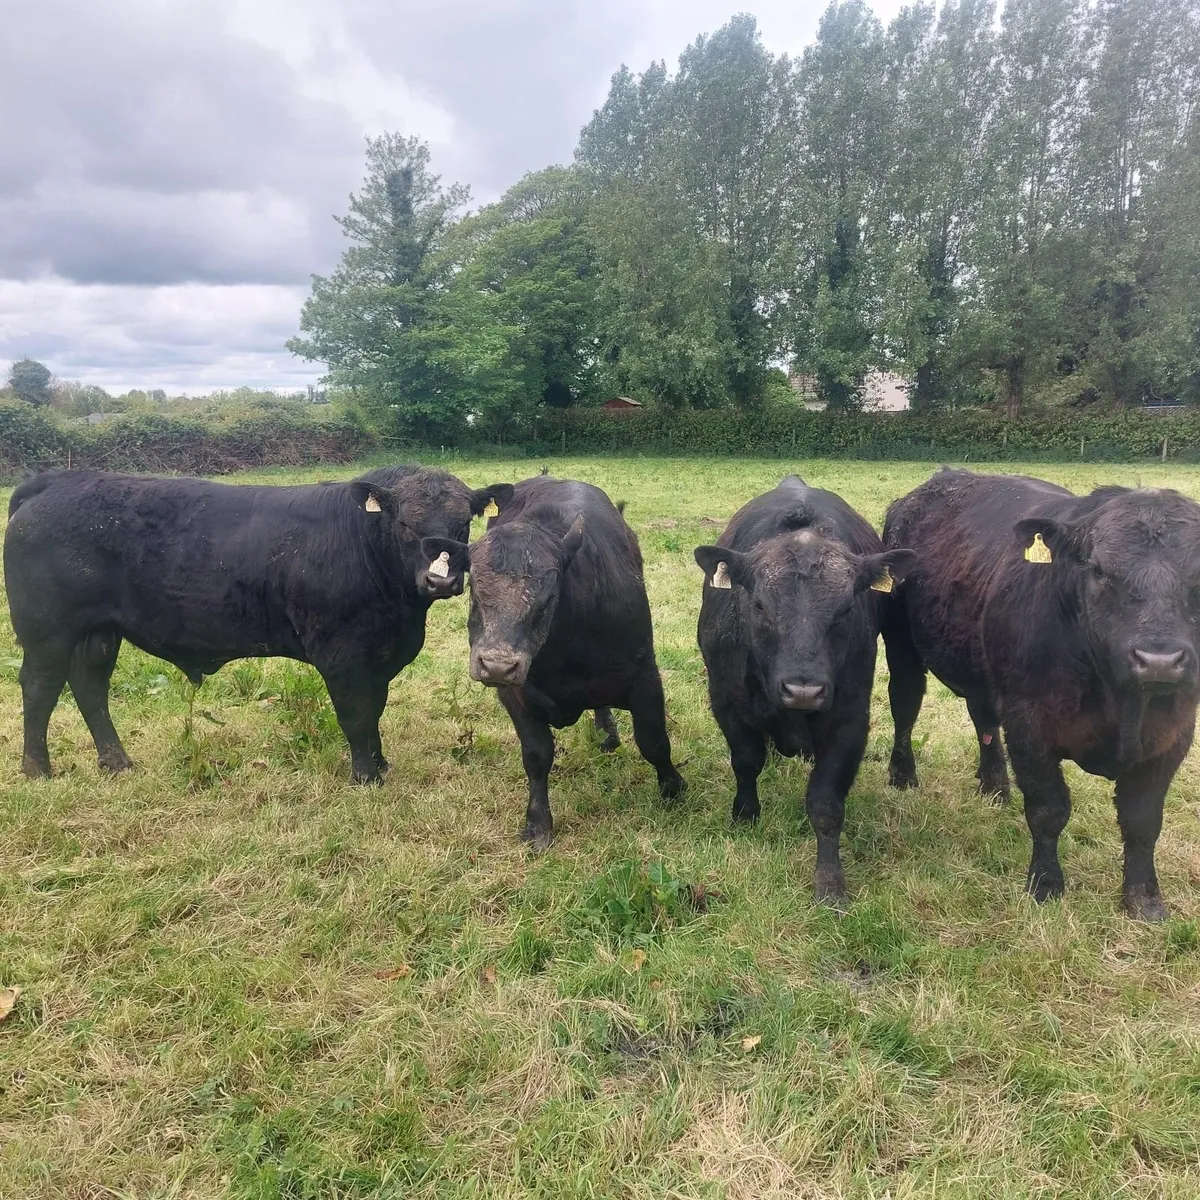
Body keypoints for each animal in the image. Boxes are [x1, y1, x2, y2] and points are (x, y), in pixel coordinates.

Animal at [4, 465, 509, 784]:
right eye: (405, 523)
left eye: (463, 523)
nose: (439, 580)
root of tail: (55, 482)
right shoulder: (341, 654)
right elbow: (356, 713)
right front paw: (366, 777)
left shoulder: (380, 655)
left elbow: (375, 710)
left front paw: (380, 764)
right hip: (47, 631)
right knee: (40, 687)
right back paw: (38, 770)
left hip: (98, 632)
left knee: (89, 687)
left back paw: (117, 763)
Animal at [424, 476, 685, 848]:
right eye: (475, 588)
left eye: (547, 599)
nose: (498, 665)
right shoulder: (514, 695)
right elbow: (536, 755)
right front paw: (538, 824)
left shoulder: (645, 678)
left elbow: (654, 740)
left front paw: (673, 787)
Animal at [694, 476, 915, 902]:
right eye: (759, 606)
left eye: (845, 609)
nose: (803, 690)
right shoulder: (726, 701)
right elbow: (746, 761)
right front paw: (744, 815)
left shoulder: (849, 718)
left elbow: (826, 802)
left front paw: (830, 883)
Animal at [883, 468, 1200, 920]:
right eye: (1098, 570)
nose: (1159, 660)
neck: (1118, 702)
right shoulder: (1029, 725)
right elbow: (1049, 809)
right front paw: (1046, 885)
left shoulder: (1172, 735)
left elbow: (1142, 820)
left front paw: (1144, 900)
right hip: (902, 645)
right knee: (905, 706)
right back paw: (903, 775)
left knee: (983, 719)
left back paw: (995, 786)